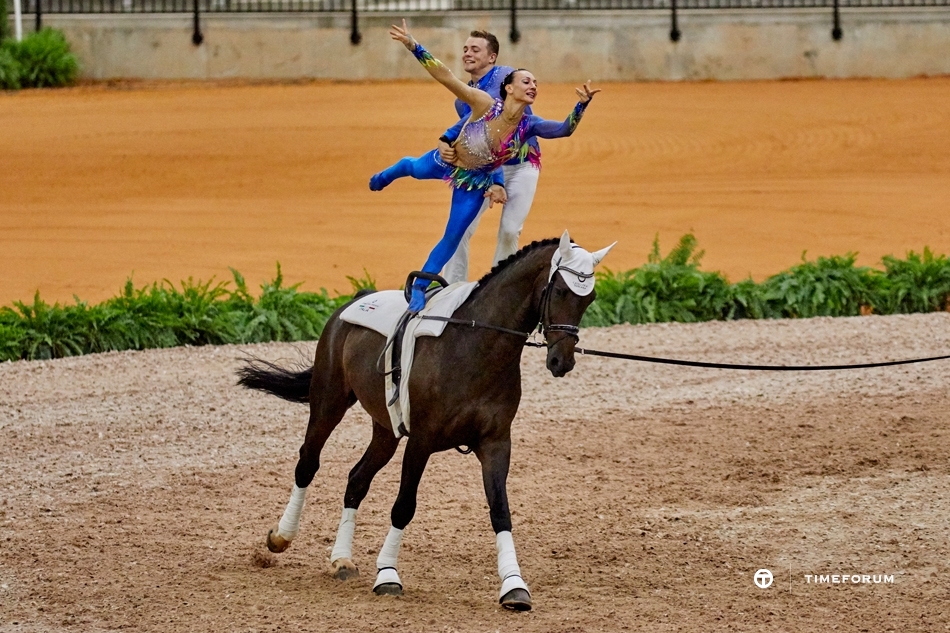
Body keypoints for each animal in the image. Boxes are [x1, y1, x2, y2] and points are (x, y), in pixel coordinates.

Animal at [234, 231, 612, 608]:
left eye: (590, 298)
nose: (562, 361)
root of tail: (355, 299)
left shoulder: (495, 442)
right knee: (307, 463)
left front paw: (514, 586)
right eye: (560, 291)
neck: (477, 345)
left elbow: (500, 510)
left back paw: (341, 560)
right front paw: (388, 574)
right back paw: (282, 536)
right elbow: (404, 506)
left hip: (386, 429)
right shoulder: (421, 440)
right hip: (329, 403)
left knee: (356, 479)